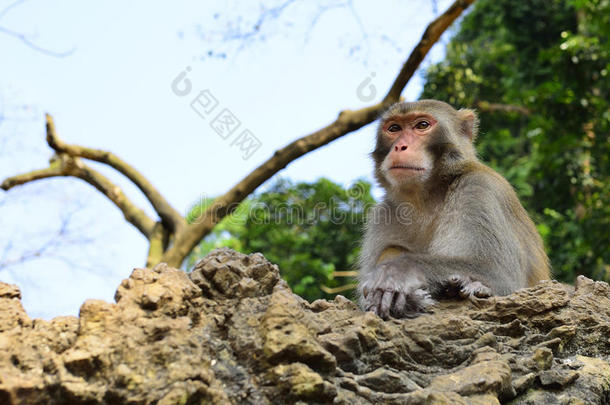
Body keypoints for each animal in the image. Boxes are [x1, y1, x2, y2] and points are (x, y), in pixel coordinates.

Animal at [356, 98, 552, 318]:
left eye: (422, 125)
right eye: (394, 128)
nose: (400, 146)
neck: (424, 198)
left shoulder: (478, 189)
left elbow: (501, 275)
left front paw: (397, 272)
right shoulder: (383, 214)